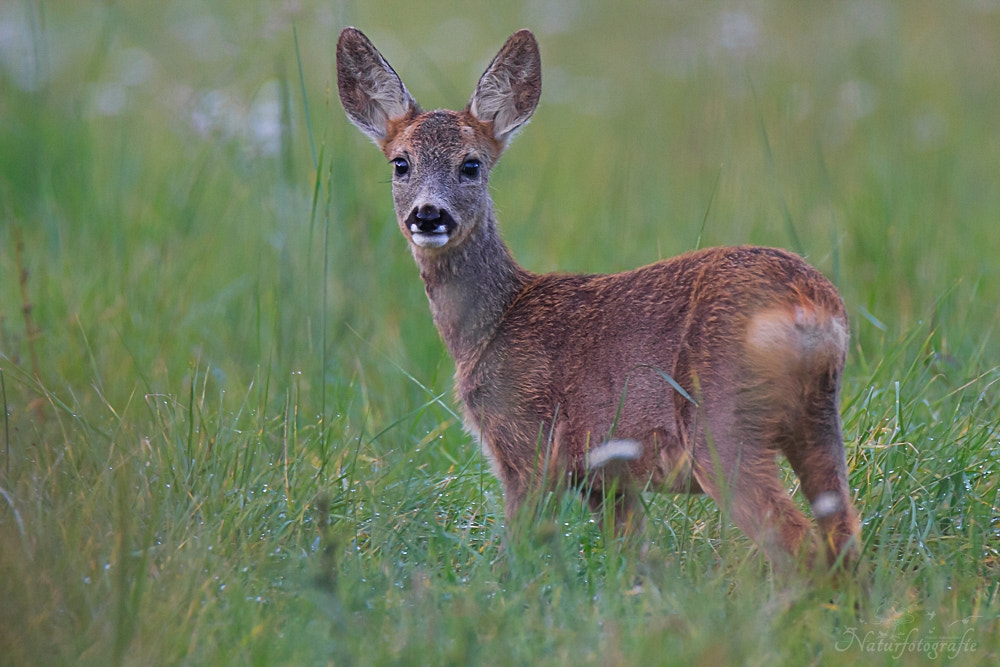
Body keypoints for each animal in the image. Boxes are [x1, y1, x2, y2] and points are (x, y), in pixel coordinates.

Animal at [336, 27, 860, 573]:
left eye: (471, 165)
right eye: (401, 164)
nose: (428, 215)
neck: (492, 324)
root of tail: (809, 308)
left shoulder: (528, 443)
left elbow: (516, 547)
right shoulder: (601, 476)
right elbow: (635, 555)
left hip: (721, 425)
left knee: (798, 542)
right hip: (818, 421)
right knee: (844, 534)